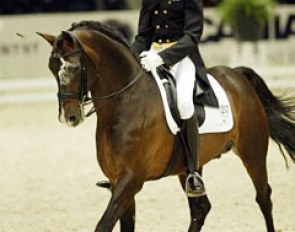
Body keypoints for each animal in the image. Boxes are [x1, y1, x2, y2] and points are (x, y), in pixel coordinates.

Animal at [38, 20, 294, 231]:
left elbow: (104, 225)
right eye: (51, 67)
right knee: (201, 209)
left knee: (264, 197)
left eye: (71, 68)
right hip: (190, 166)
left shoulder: (131, 180)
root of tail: (237, 75)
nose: (68, 118)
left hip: (253, 152)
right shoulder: (118, 182)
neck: (125, 102)